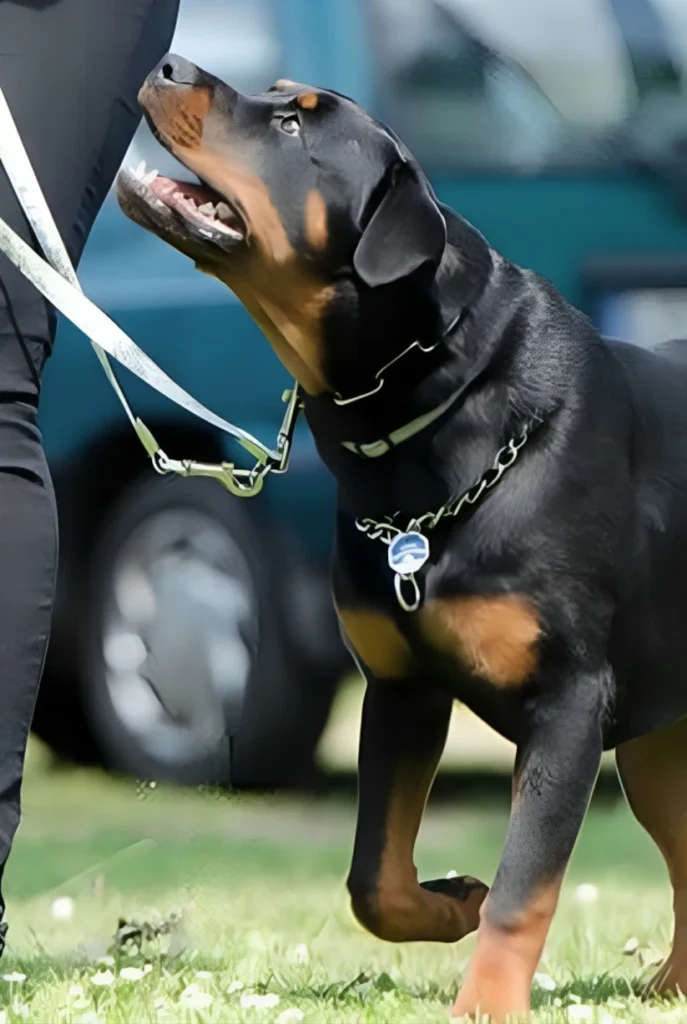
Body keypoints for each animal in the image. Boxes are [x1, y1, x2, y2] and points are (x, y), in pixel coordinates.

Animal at [118, 54, 687, 1015]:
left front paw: (486, 1001)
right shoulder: (400, 686)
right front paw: (453, 900)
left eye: (294, 126)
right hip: (657, 743)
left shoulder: (568, 702)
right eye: (275, 97)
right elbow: (371, 880)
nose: (170, 64)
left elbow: (526, 887)